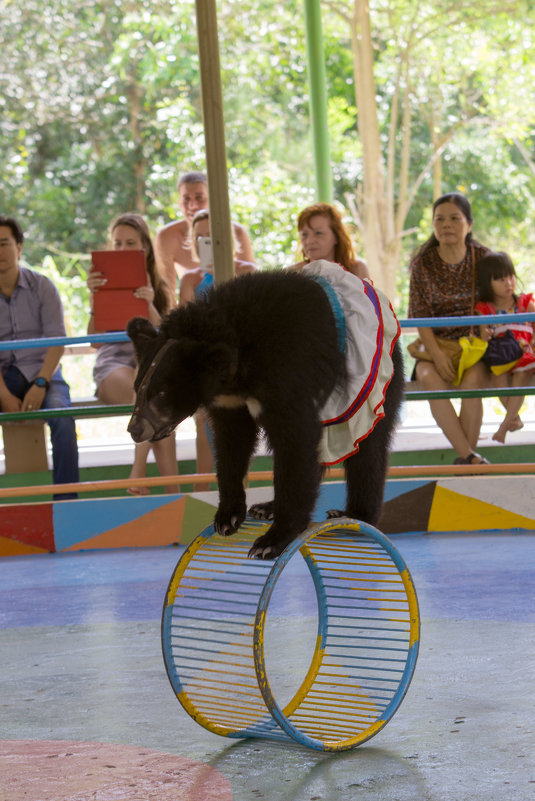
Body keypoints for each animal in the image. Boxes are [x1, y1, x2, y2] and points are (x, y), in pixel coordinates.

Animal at [127, 262, 404, 556]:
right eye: (138, 387)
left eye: (161, 393)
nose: (135, 429)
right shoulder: (230, 402)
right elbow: (233, 442)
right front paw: (228, 517)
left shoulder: (286, 371)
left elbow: (296, 438)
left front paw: (272, 540)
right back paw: (266, 507)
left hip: (375, 387)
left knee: (368, 451)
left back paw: (354, 515)